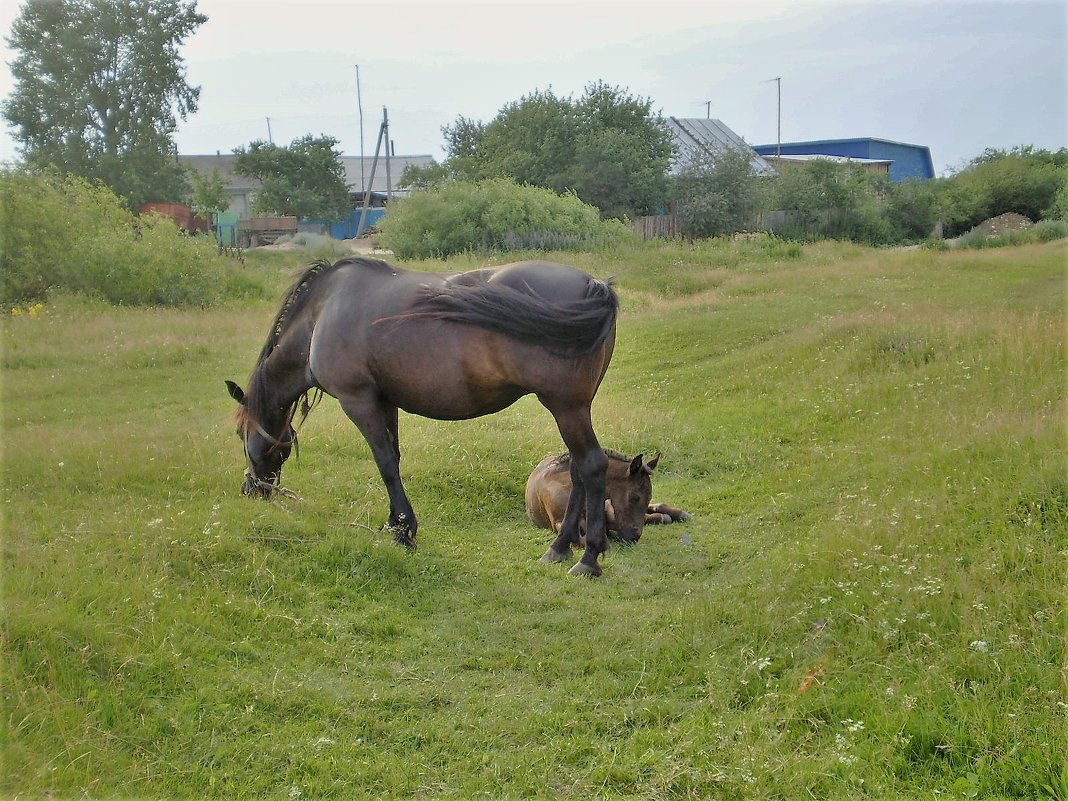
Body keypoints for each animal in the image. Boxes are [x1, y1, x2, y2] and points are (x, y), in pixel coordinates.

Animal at [229, 257, 623, 576]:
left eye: (239, 434)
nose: (251, 490)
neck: (323, 314)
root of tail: (594, 285)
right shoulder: (385, 401)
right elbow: (394, 457)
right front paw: (394, 524)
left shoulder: (358, 402)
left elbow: (385, 464)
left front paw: (405, 531)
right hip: (572, 409)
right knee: (577, 469)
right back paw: (558, 548)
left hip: (565, 407)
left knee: (591, 466)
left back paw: (587, 559)